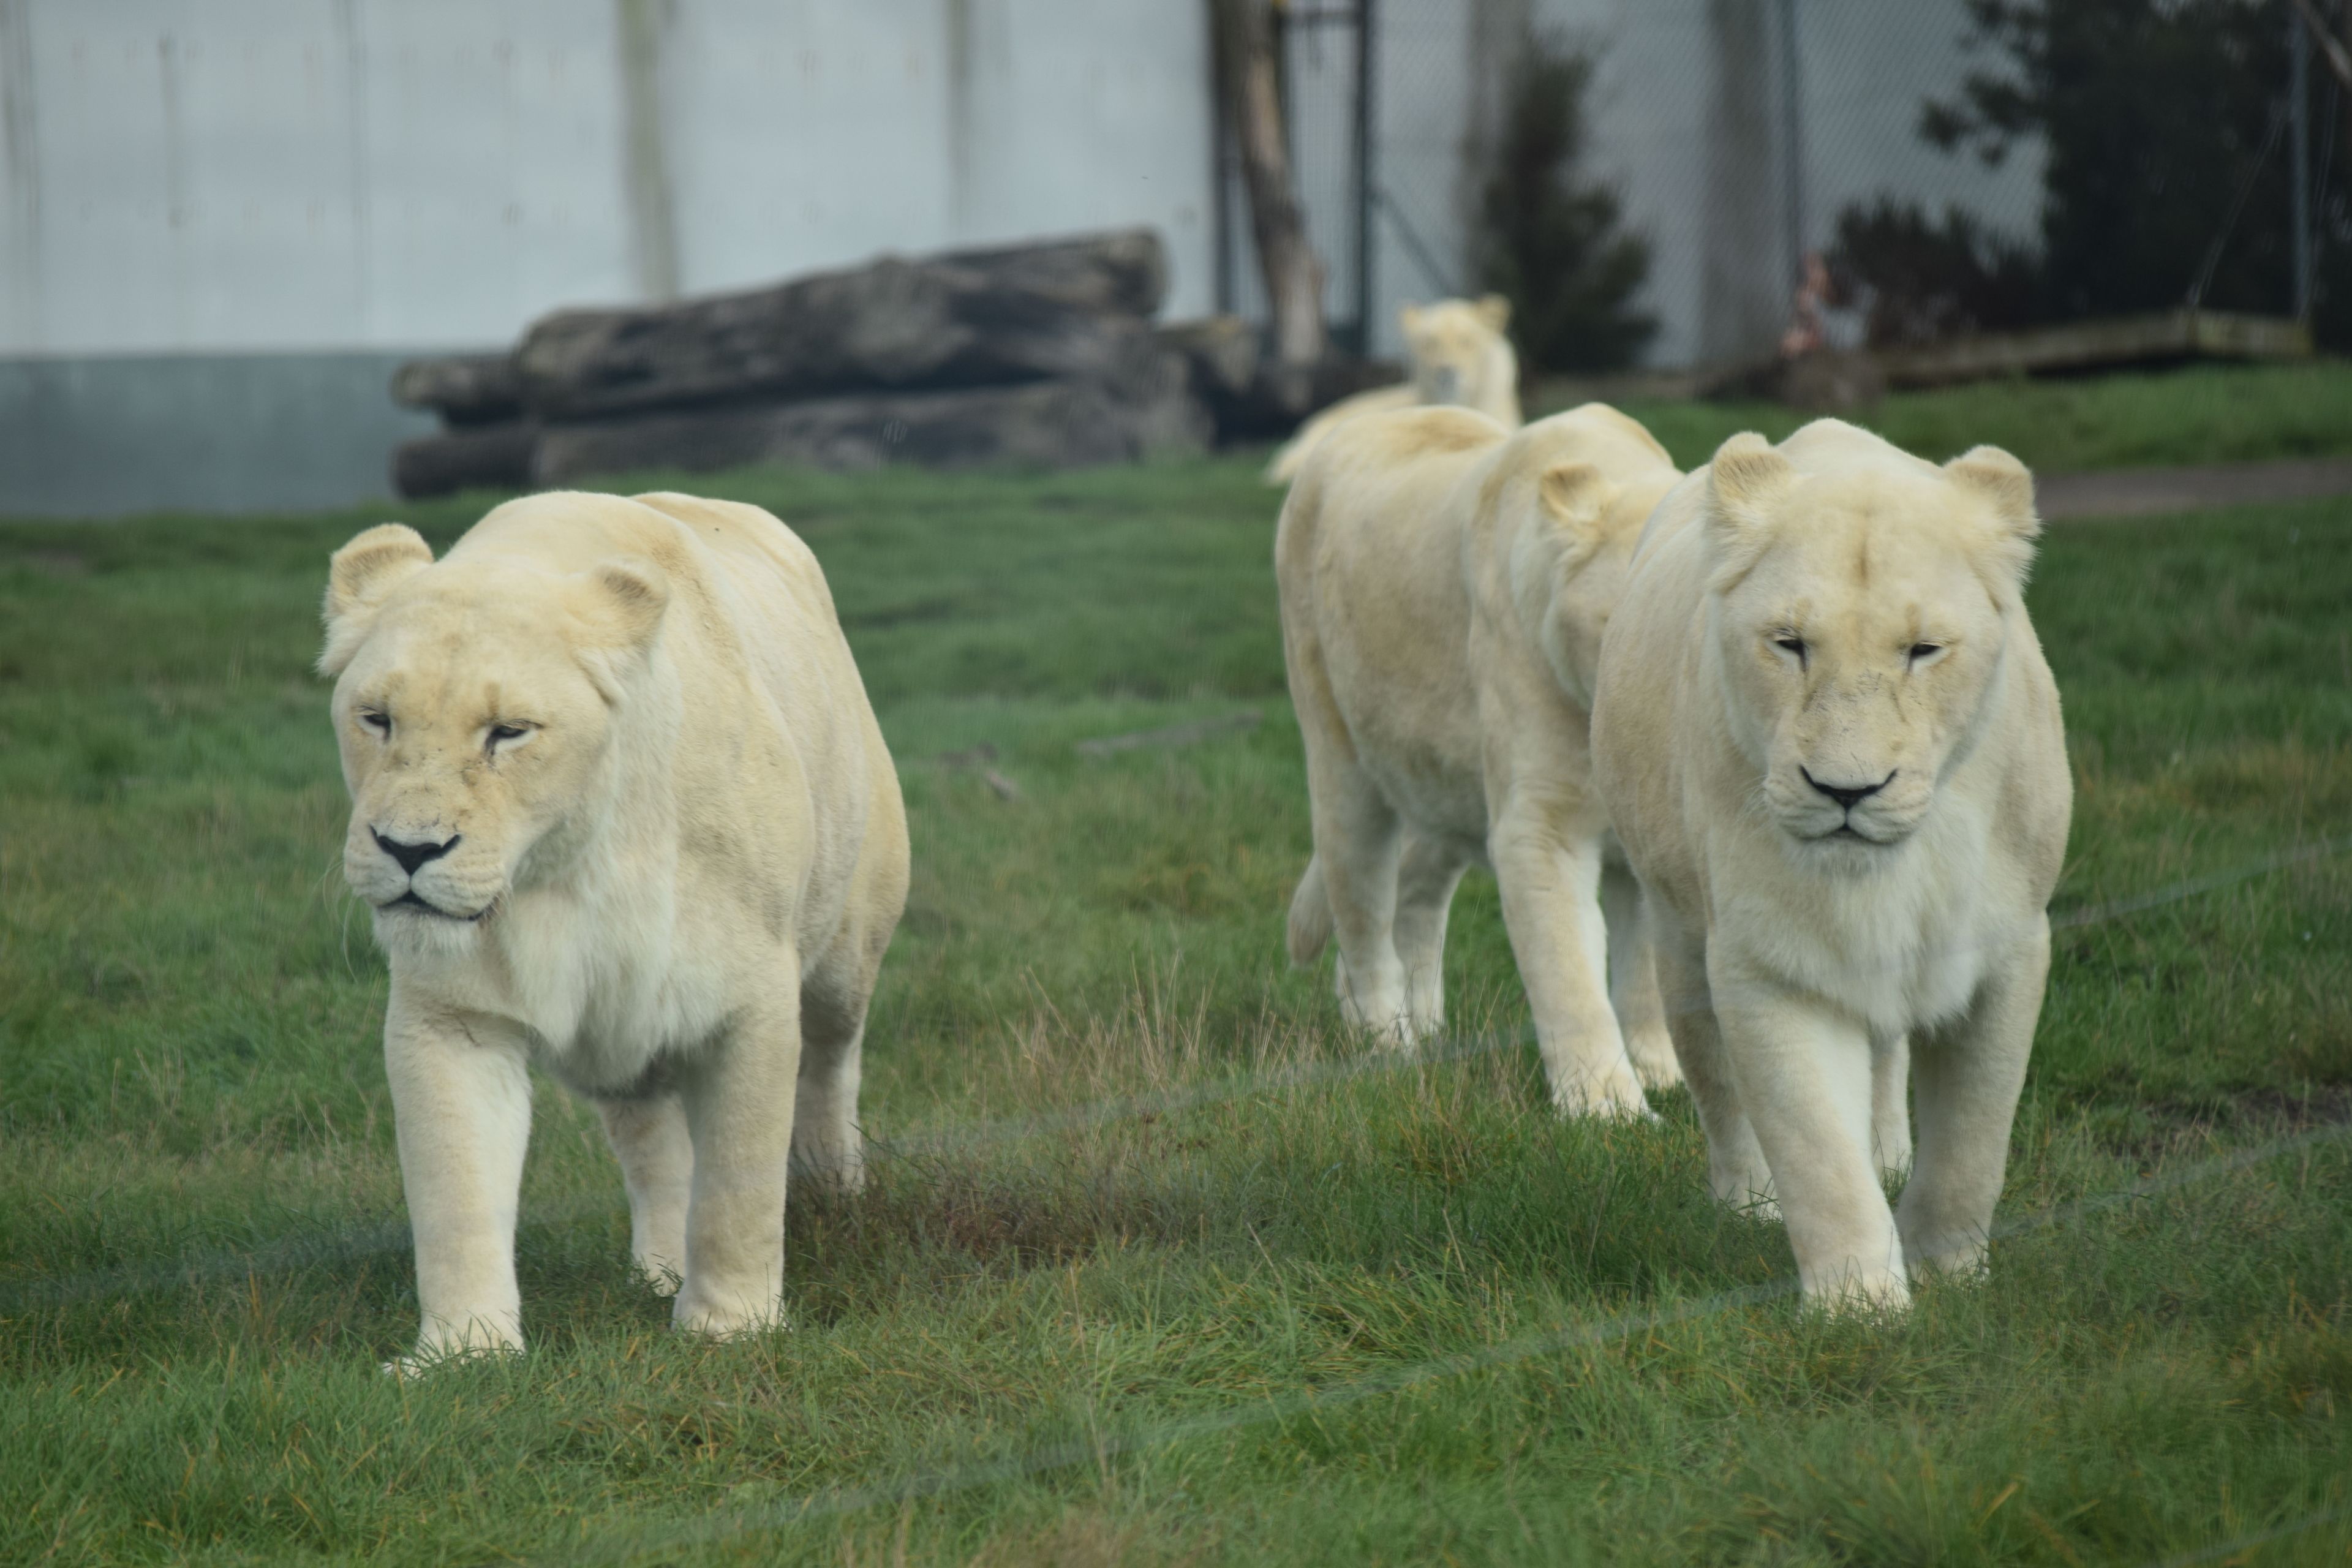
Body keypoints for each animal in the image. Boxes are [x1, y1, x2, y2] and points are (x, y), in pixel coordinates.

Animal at [320, 490, 909, 1369]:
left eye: (509, 731)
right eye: (377, 719)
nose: (409, 849)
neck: (567, 866)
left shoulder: (750, 996)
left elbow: (738, 1179)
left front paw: (731, 1328)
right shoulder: (453, 1013)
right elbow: (456, 1188)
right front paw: (462, 1353)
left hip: (847, 942)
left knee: (833, 1062)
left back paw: (835, 1191)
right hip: (621, 1032)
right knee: (653, 1139)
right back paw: (661, 1269)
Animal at [1276, 401, 1685, 1116]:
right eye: (1616, 627)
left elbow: (1645, 978)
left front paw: (1662, 1076)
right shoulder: (1539, 826)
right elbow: (1569, 972)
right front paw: (1606, 1108)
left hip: (1439, 787)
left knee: (1416, 895)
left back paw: (1424, 1030)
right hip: (1343, 770)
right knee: (1362, 912)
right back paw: (1386, 1043)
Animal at [1590, 419, 2070, 1310]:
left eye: (1923, 650)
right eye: (1790, 645)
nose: (1846, 790)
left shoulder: (2009, 950)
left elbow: (1973, 1143)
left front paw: (1952, 1273)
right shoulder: (1769, 962)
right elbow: (1818, 1153)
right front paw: (1861, 1309)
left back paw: (1890, 1154)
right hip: (1679, 933)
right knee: (1718, 1085)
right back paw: (1747, 1203)